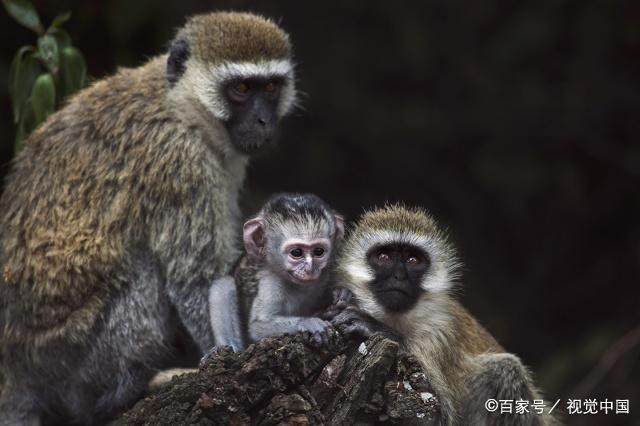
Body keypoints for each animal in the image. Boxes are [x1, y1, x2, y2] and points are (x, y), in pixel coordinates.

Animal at [0, 11, 298, 424]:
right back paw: (117, 394)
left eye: (270, 87)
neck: (180, 105)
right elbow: (198, 281)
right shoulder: (181, 162)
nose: (263, 121)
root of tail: (16, 366)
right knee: (143, 272)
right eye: (240, 88)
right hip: (65, 356)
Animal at [332, 205, 556, 424]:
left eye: (413, 260)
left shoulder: (440, 332)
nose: (399, 276)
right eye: (384, 257)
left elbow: (443, 412)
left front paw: (373, 327)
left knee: (506, 369)